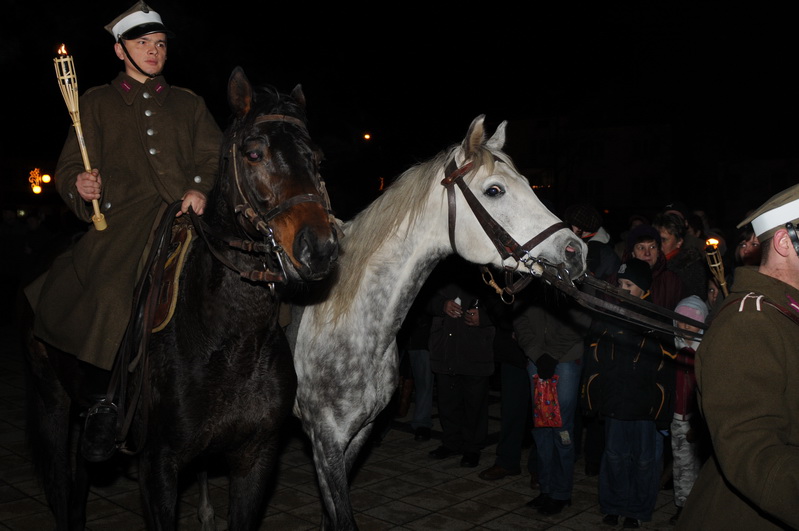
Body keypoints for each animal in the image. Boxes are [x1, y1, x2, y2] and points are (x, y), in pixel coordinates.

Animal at [23, 66, 339, 531]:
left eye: (317, 158)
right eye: (254, 154)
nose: (319, 248)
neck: (227, 341)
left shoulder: (256, 458)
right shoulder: (158, 466)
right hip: (50, 402)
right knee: (61, 489)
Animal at [287, 115, 587, 529]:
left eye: (530, 184)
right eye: (494, 190)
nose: (576, 251)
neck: (346, 323)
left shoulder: (356, 434)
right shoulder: (325, 438)